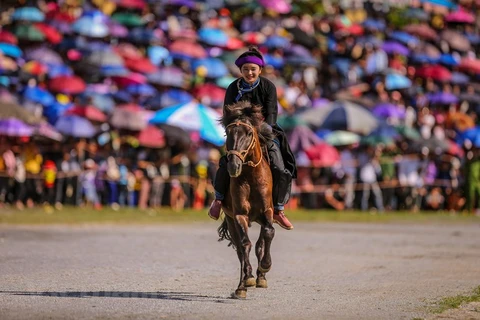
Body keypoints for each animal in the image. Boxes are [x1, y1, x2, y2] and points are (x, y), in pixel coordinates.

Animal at [218, 100, 278, 300]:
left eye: (249, 133)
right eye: (228, 132)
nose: (233, 166)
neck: (251, 177)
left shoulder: (268, 212)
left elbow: (268, 233)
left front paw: (265, 266)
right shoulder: (239, 216)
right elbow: (245, 245)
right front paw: (246, 282)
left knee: (261, 243)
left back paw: (261, 277)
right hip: (230, 221)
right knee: (240, 249)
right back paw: (245, 282)